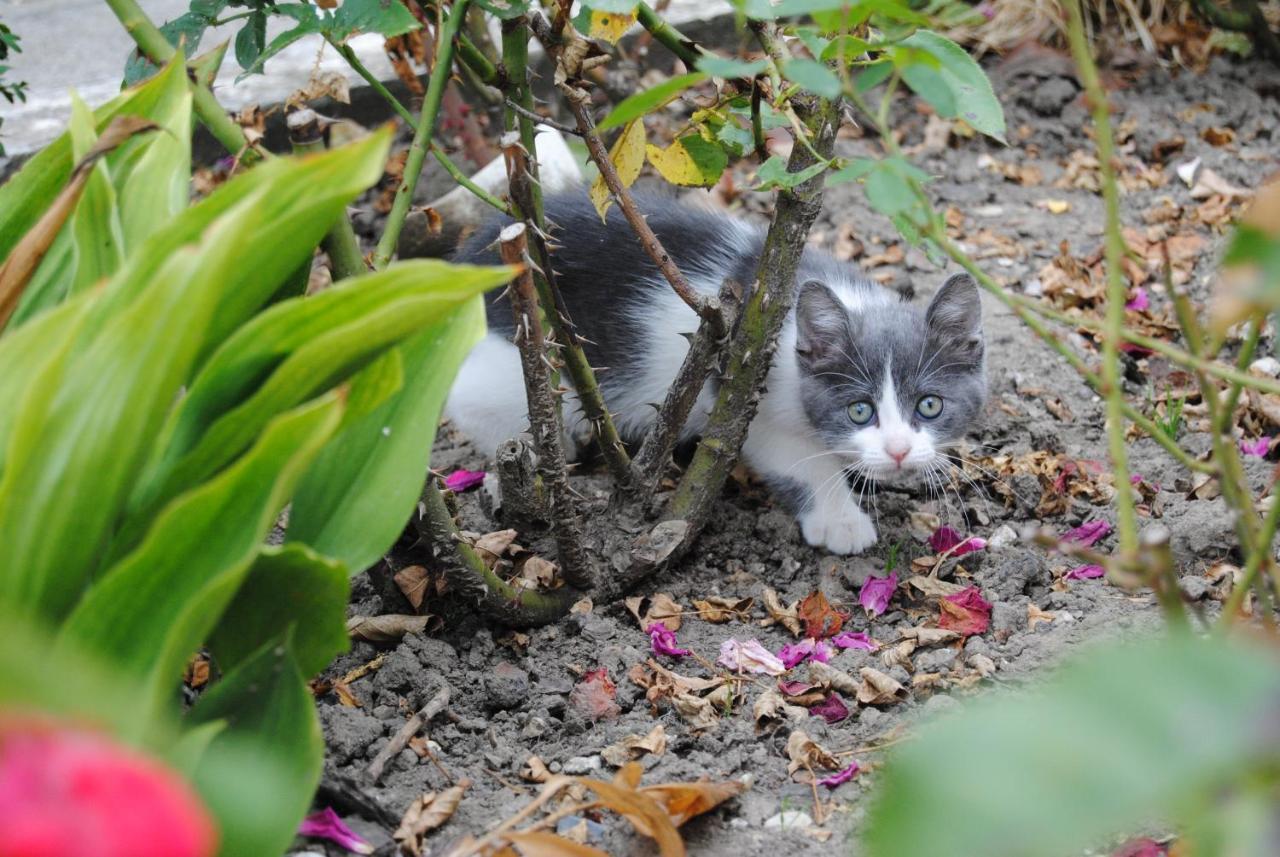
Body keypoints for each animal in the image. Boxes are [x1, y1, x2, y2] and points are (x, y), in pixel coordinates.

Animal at [445, 191, 983, 557]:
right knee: (470, 401)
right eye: (859, 410)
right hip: (514, 366)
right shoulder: (743, 397)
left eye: (930, 405)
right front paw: (840, 518)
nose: (899, 451)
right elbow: (798, 458)